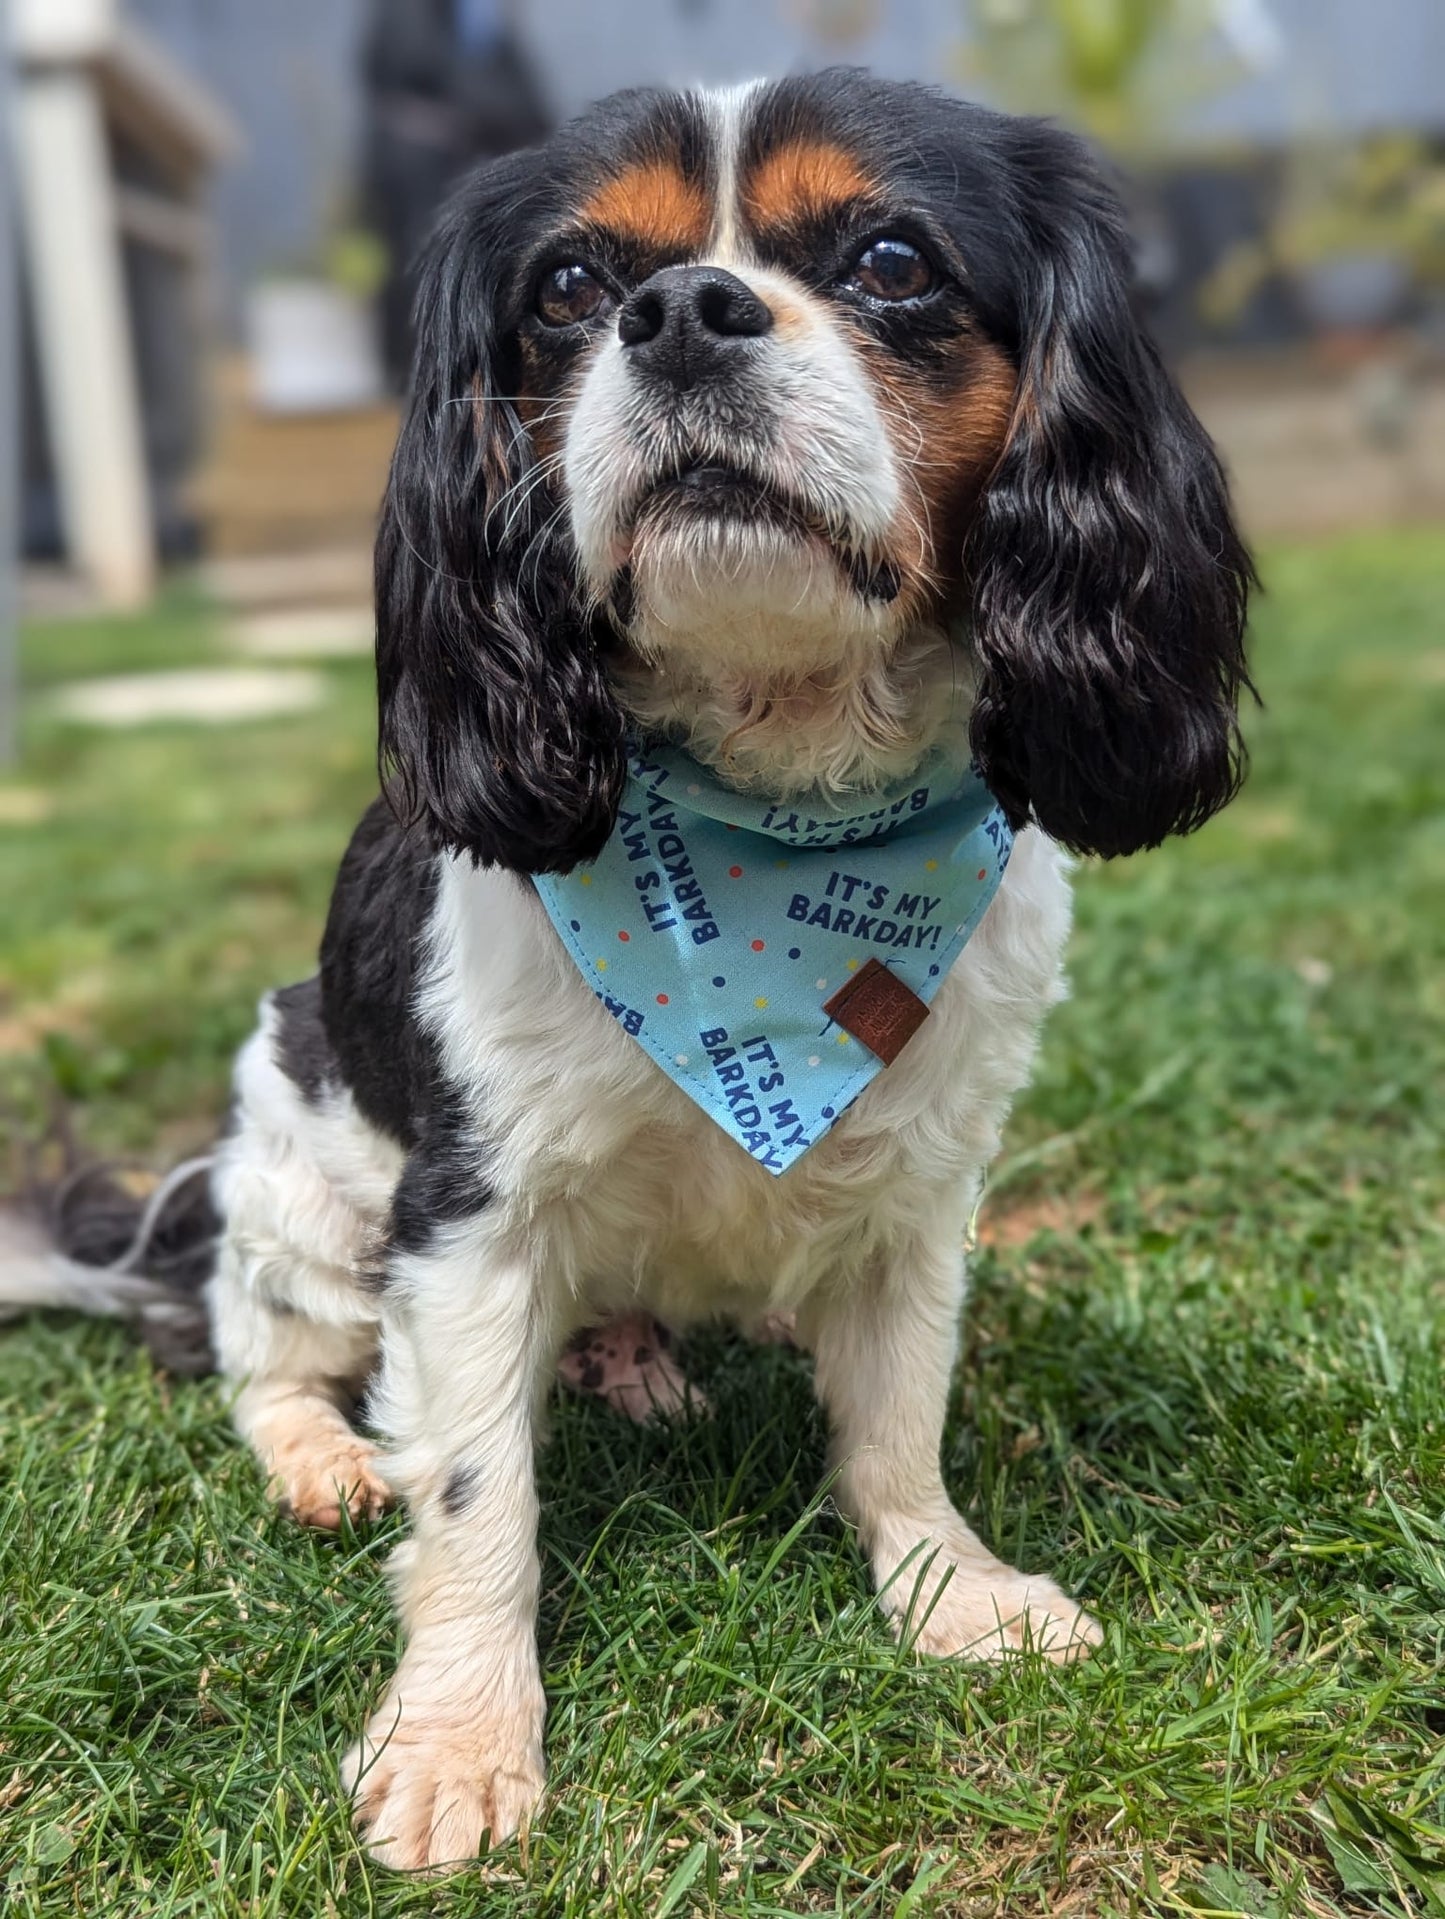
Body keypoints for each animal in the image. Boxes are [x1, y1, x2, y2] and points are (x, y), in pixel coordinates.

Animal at [2, 71, 1251, 1872]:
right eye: (576, 288)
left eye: (891, 259)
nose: (681, 312)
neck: (777, 809)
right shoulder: (462, 1209)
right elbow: (475, 1499)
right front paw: (458, 1737)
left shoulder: (920, 1184)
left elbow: (896, 1419)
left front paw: (946, 1585)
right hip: (296, 1171)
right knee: (256, 1349)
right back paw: (324, 1455)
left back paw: (633, 1355)